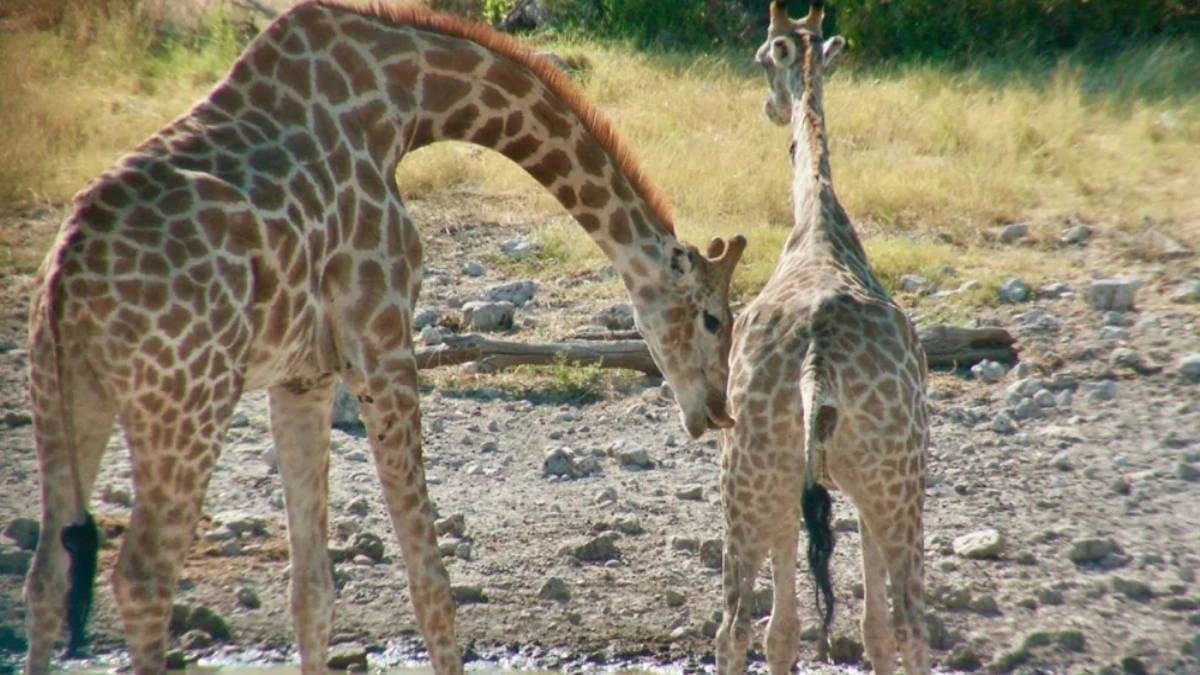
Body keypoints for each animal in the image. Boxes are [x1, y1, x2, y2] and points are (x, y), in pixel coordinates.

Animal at [21, 2, 747, 673]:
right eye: (714, 318)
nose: (717, 410)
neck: (404, 104)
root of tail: (65, 278)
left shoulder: (303, 373)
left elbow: (312, 591)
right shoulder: (382, 344)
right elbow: (431, 586)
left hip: (66, 399)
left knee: (47, 576)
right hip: (185, 406)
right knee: (142, 578)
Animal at [714, 2, 929, 674]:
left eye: (761, 57)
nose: (769, 107)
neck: (818, 224)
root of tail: (815, 365)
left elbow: (787, 633)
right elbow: (869, 627)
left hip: (753, 479)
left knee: (734, 626)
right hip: (895, 483)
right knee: (909, 622)